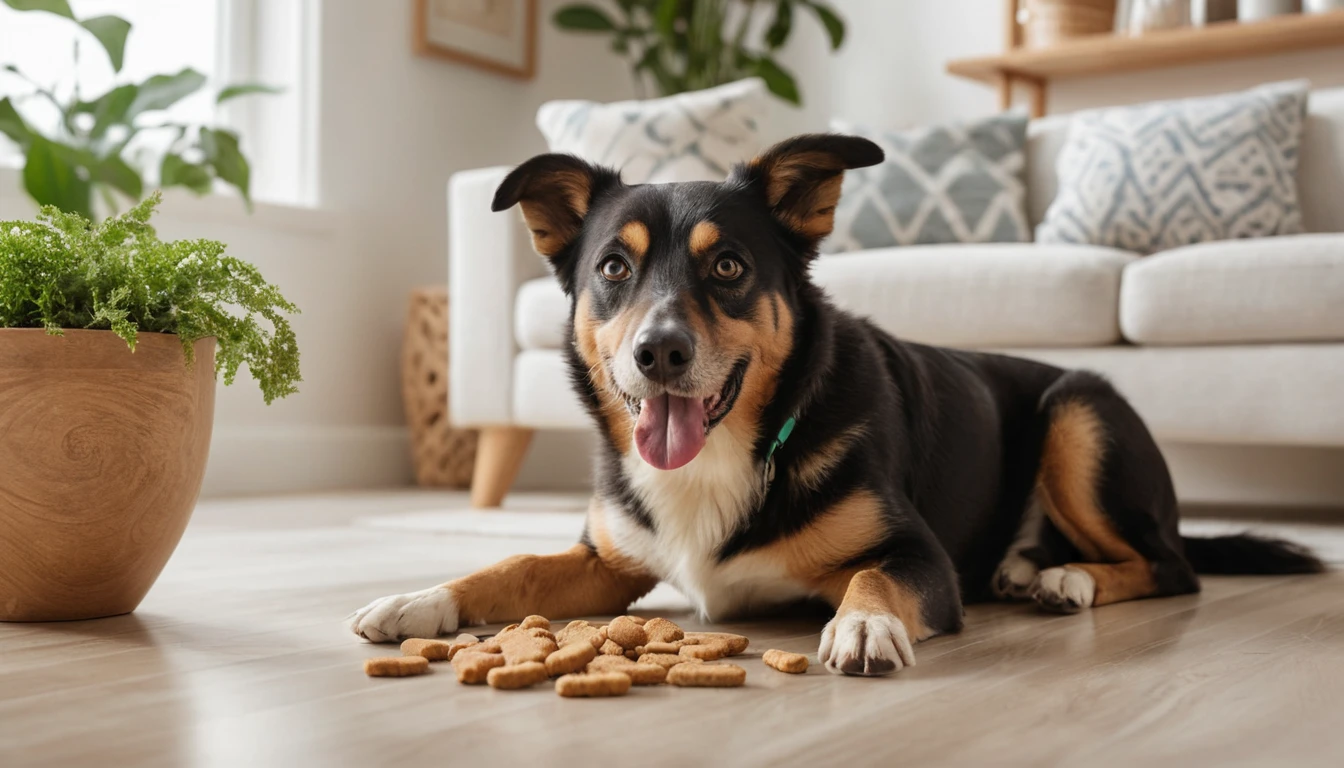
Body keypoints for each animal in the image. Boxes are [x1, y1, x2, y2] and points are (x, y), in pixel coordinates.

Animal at [352, 135, 1327, 675]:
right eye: (613, 269)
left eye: (729, 266)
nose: (658, 353)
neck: (730, 452)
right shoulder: (610, 562)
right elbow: (510, 566)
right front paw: (422, 600)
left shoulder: (918, 554)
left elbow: (874, 577)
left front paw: (862, 625)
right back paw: (1027, 569)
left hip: (1078, 415)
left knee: (1170, 565)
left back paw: (1068, 577)